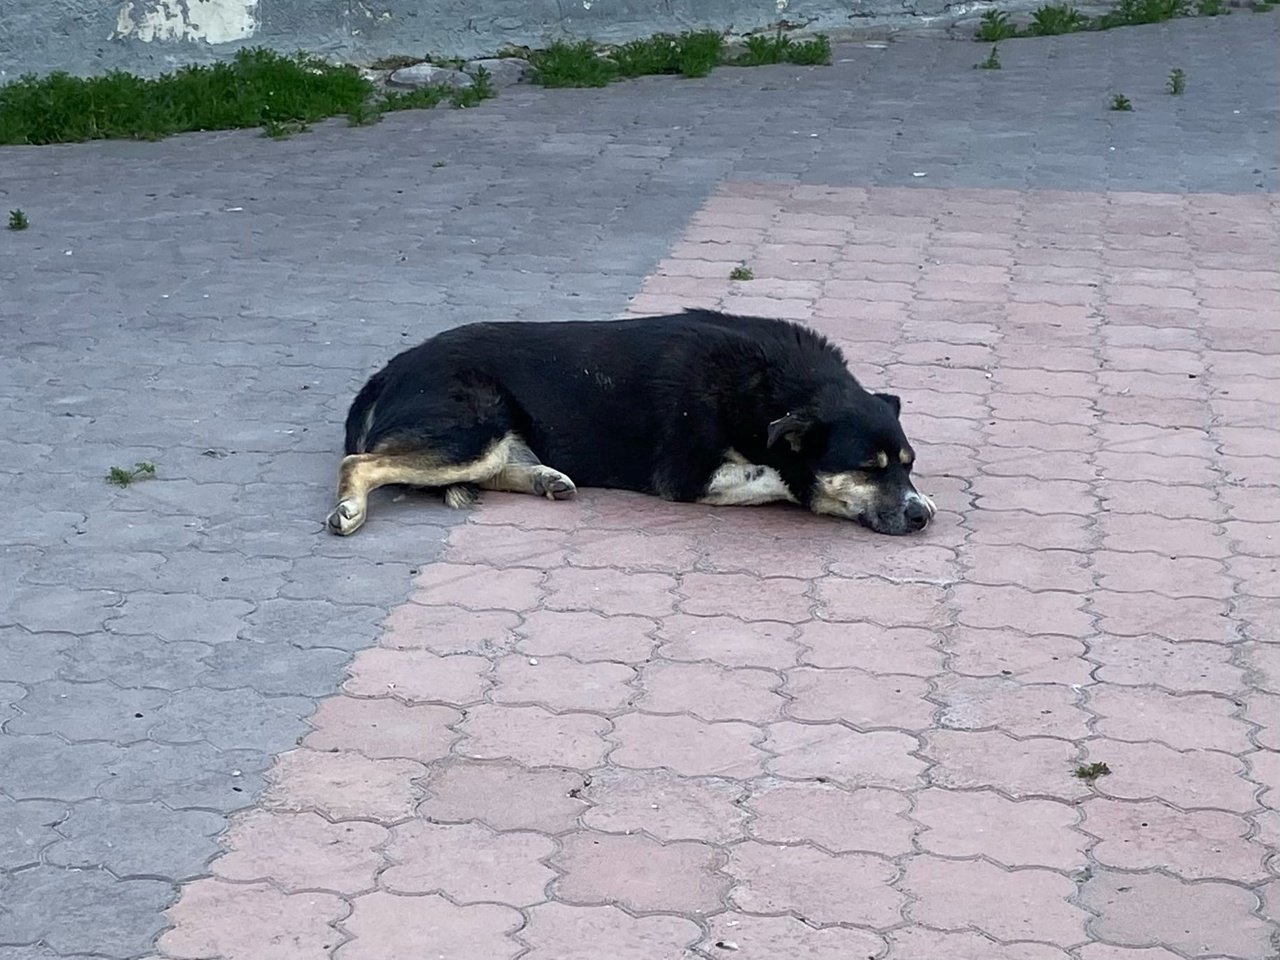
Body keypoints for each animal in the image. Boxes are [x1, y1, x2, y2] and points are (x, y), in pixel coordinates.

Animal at [325, 312, 936, 542]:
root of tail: (389, 369)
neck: (770, 384)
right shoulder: (689, 475)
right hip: (472, 431)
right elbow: (783, 478)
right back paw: (350, 508)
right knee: (360, 461)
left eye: (908, 467)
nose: (921, 517)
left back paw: (547, 479)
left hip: (493, 437)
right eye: (869, 468)